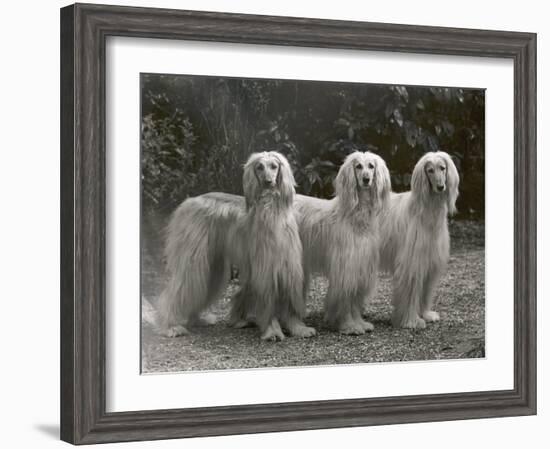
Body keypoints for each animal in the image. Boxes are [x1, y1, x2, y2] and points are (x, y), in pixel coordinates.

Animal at [160, 150, 314, 340]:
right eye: (259, 167)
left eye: (274, 166)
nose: (268, 182)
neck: (271, 213)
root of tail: (190, 202)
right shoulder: (265, 267)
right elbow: (267, 300)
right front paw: (272, 330)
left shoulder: (287, 264)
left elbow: (290, 299)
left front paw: (298, 327)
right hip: (193, 256)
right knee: (182, 287)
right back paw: (170, 326)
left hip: (212, 262)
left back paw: (196, 319)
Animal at [296, 151, 394, 332]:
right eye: (358, 166)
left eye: (371, 166)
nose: (366, 179)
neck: (356, 215)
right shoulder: (346, 265)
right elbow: (346, 297)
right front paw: (349, 325)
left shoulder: (361, 264)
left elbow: (355, 299)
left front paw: (359, 322)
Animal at [380, 150, 462, 326]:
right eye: (430, 170)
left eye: (442, 168)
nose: (440, 187)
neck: (427, 211)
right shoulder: (412, 260)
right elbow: (411, 289)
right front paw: (411, 320)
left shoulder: (430, 258)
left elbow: (426, 289)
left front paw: (425, 314)